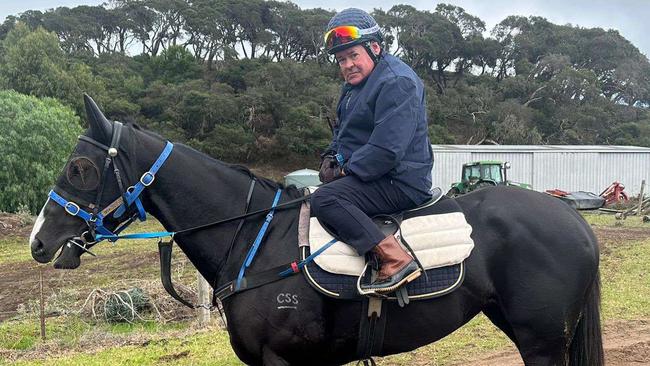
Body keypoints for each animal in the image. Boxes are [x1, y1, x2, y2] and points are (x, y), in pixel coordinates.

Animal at [30, 96, 604, 366]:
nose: (38, 241)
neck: (257, 240)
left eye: (80, 168)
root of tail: (572, 216)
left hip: (542, 339)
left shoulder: (280, 360)